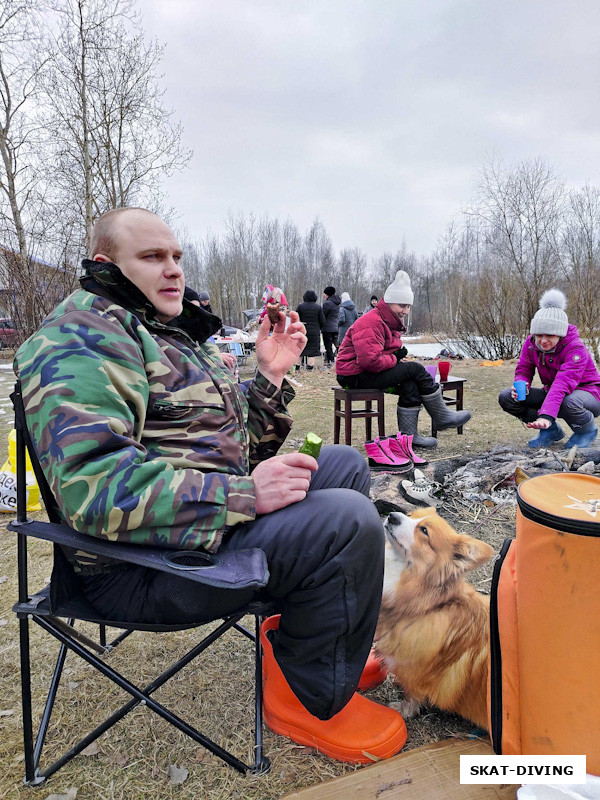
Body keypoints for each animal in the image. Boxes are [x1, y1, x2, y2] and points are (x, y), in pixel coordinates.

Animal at [378, 510, 494, 728]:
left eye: (424, 531)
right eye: (411, 514)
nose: (392, 515)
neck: (430, 606)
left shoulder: (416, 674)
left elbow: (412, 695)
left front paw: (402, 710)